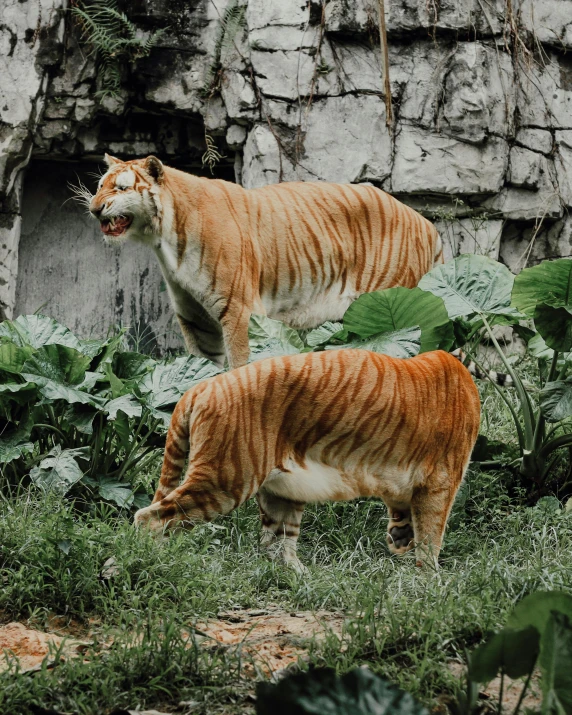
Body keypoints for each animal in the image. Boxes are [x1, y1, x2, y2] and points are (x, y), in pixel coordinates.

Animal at [85, 155, 442, 370]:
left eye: (121, 188)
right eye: (100, 186)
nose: (94, 207)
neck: (166, 239)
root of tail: (428, 225)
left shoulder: (240, 310)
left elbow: (240, 365)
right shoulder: (196, 320)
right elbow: (201, 371)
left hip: (396, 308)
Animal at [134, 348, 478, 572]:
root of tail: (200, 386)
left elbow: (407, 518)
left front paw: (401, 542)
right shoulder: (441, 482)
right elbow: (432, 536)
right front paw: (430, 581)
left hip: (281, 490)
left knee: (273, 545)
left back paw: (300, 576)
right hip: (225, 479)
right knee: (150, 517)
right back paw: (154, 561)